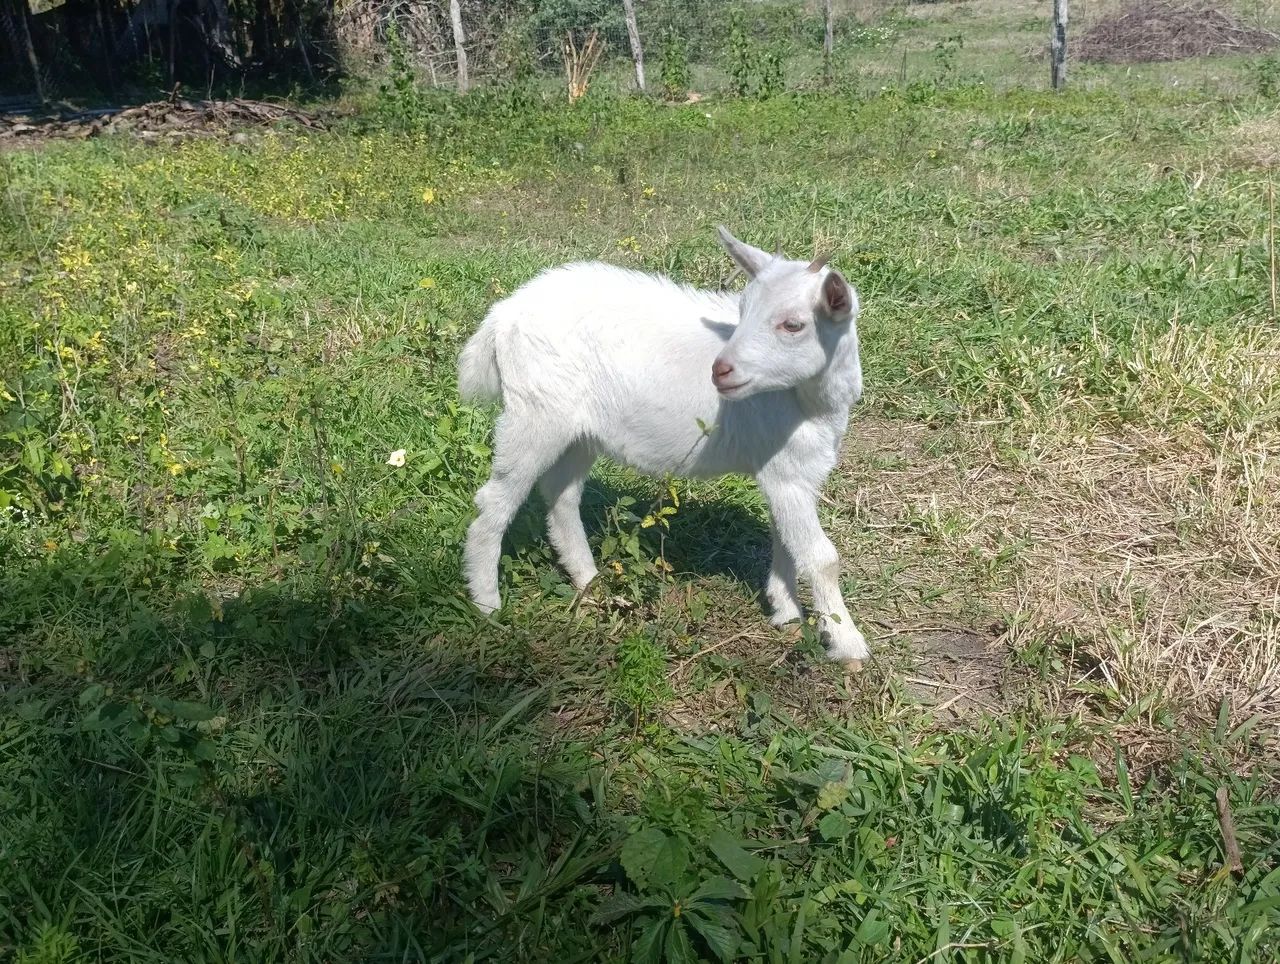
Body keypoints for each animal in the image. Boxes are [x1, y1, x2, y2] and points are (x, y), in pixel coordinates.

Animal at [457, 227, 868, 664]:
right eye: (742, 310)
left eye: (793, 324)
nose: (720, 370)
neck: (812, 402)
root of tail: (502, 315)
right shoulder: (786, 472)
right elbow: (822, 557)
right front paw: (847, 643)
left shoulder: (789, 472)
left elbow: (787, 541)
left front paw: (786, 611)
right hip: (534, 414)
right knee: (495, 500)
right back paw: (487, 603)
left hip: (578, 430)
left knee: (561, 495)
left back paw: (589, 582)